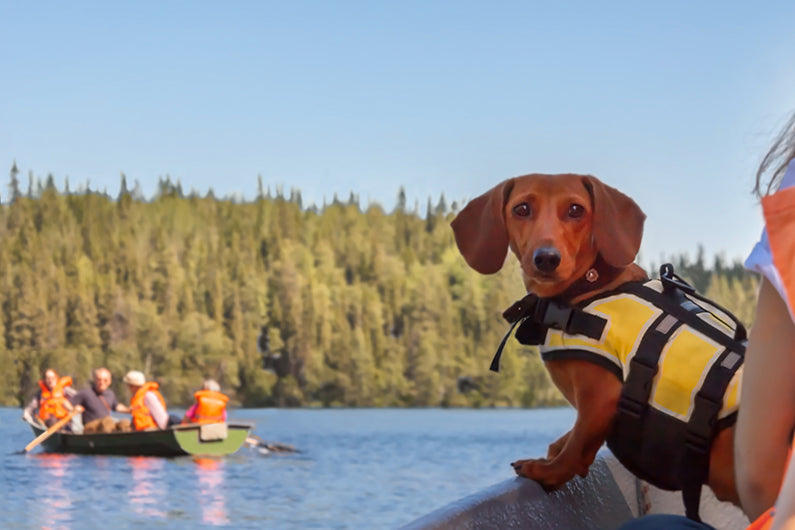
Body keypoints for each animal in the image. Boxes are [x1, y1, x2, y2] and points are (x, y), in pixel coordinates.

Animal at [450, 172, 736, 504]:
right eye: (521, 209)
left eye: (576, 210)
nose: (546, 258)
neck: (586, 288)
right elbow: (572, 439)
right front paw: (553, 452)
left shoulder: (600, 397)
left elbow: (576, 446)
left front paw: (547, 470)